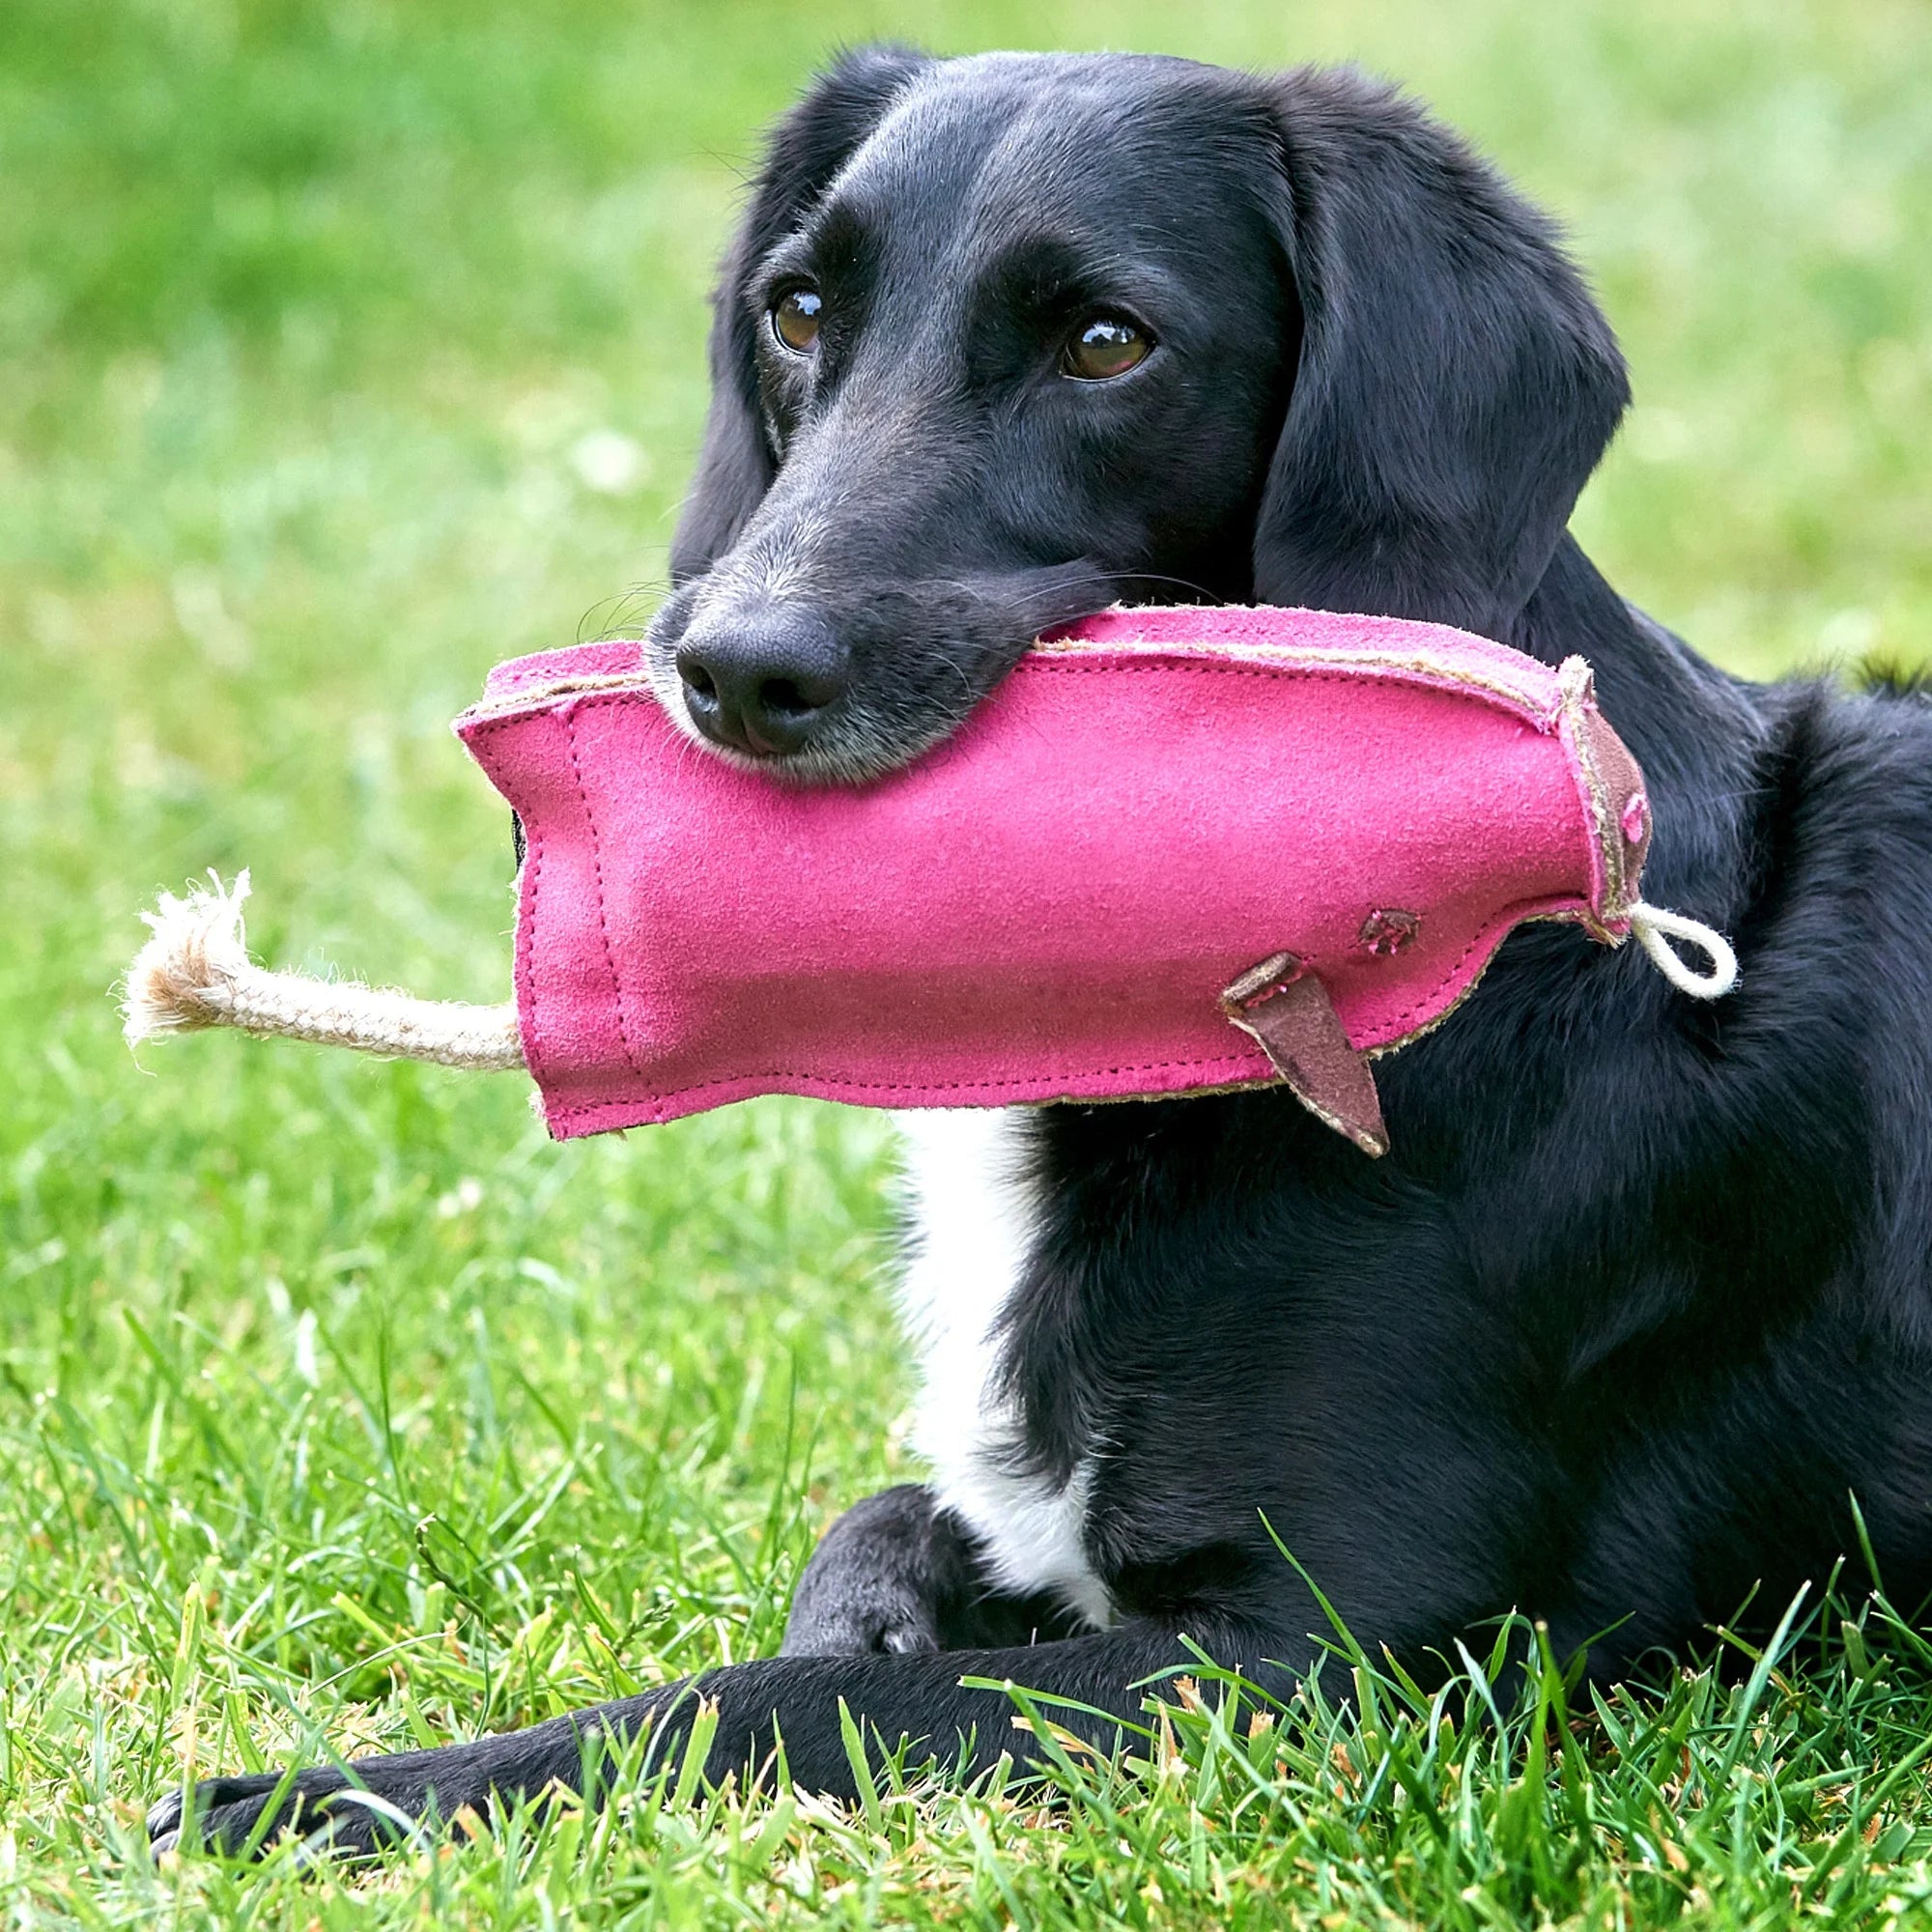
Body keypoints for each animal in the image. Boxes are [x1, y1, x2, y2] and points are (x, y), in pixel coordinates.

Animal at [155, 45, 1932, 1855]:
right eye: (799, 310)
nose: (730, 671)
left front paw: (332, 1795)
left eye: (1106, 342)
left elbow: (769, 1698)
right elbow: (874, 1530)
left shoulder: (1342, 1666)